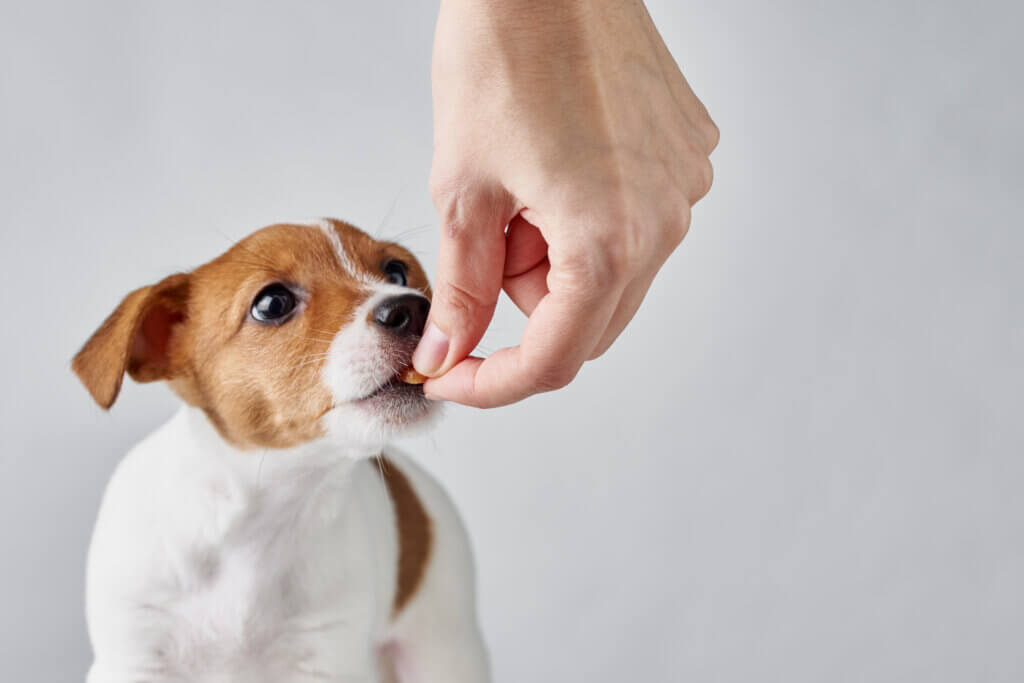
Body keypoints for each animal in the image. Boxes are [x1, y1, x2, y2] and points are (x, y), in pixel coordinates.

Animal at [72, 219, 487, 683]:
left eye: (396, 272)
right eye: (272, 304)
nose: (416, 308)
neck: (263, 517)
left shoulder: (326, 659)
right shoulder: (133, 659)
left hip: (444, 648)